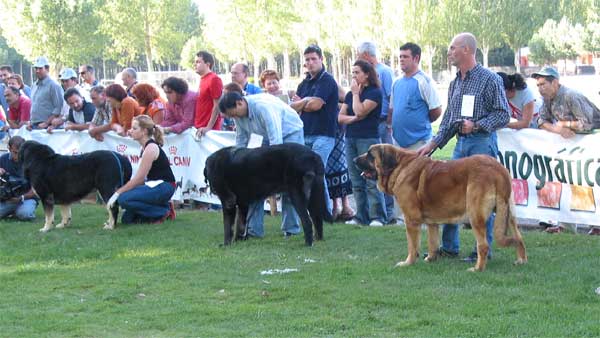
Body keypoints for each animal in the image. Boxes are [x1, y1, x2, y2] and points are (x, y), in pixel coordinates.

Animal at [354, 144, 528, 270]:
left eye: (370, 155)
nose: (354, 160)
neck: (399, 167)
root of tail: (498, 168)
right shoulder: (432, 223)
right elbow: (433, 242)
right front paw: (430, 259)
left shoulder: (411, 221)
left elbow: (412, 245)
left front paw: (408, 263)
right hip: (509, 214)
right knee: (519, 238)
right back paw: (521, 260)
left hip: (475, 216)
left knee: (483, 246)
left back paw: (477, 268)